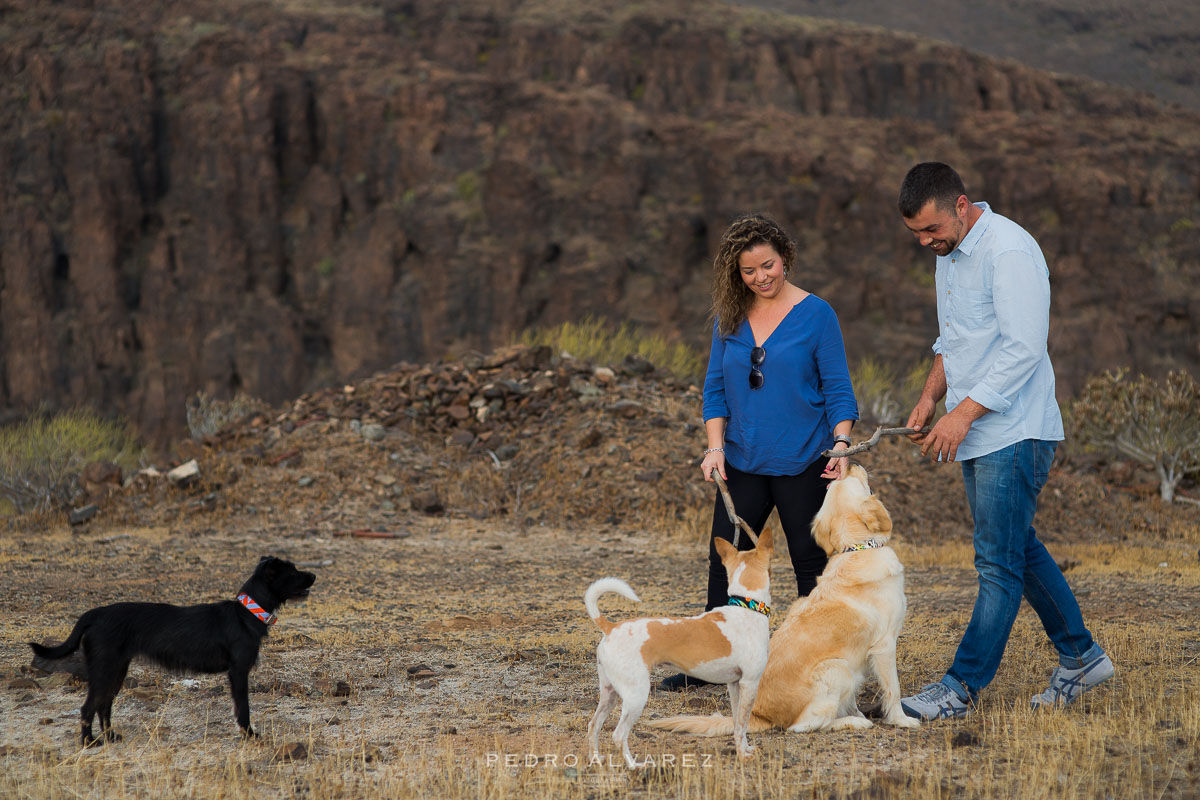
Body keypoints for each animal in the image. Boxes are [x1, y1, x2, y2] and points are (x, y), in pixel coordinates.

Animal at [28, 556, 314, 743]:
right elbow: (243, 707)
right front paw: (249, 735)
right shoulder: (238, 672)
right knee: (88, 708)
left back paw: (110, 737)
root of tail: (94, 614)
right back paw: (89, 743)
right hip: (104, 670)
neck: (247, 613)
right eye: (292, 571)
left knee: (104, 706)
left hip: (116, 670)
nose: (314, 575)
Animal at [585, 527, 772, 767]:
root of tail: (610, 627)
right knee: (618, 735)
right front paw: (742, 755)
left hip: (609, 693)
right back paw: (634, 766)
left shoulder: (735, 685)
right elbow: (742, 724)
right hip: (636, 694)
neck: (747, 606)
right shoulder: (749, 683)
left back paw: (596, 759)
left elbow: (739, 723)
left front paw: (746, 748)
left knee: (594, 725)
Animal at [648, 465, 916, 734]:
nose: (848, 465)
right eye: (853, 479)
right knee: (803, 725)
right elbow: (893, 689)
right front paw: (901, 720)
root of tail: (760, 715)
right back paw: (855, 721)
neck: (857, 548)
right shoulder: (885, 644)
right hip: (837, 668)